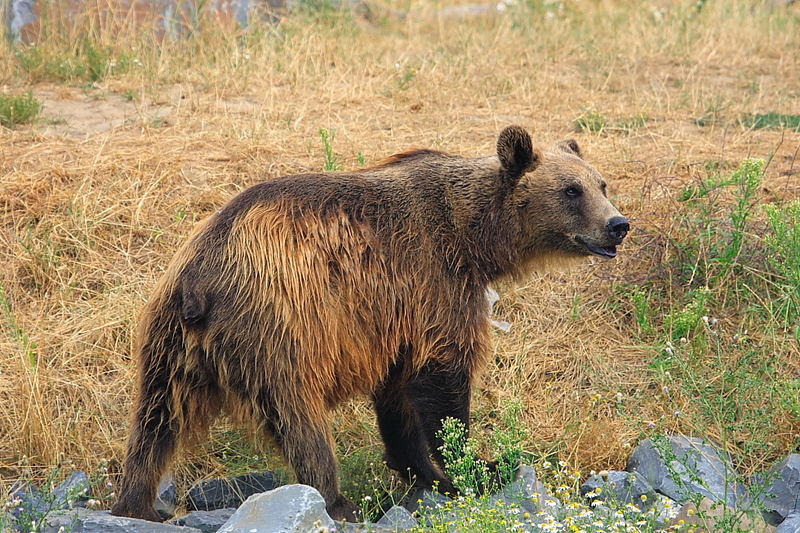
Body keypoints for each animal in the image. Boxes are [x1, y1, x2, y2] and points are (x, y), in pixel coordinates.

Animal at [109, 124, 628, 520]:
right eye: (571, 190)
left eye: (601, 184)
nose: (618, 224)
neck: (474, 239)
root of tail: (200, 275)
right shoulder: (432, 281)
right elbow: (444, 379)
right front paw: (478, 464)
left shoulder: (392, 318)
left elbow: (398, 397)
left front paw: (425, 472)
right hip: (277, 328)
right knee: (300, 420)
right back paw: (336, 501)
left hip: (170, 340)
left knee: (155, 421)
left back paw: (136, 503)